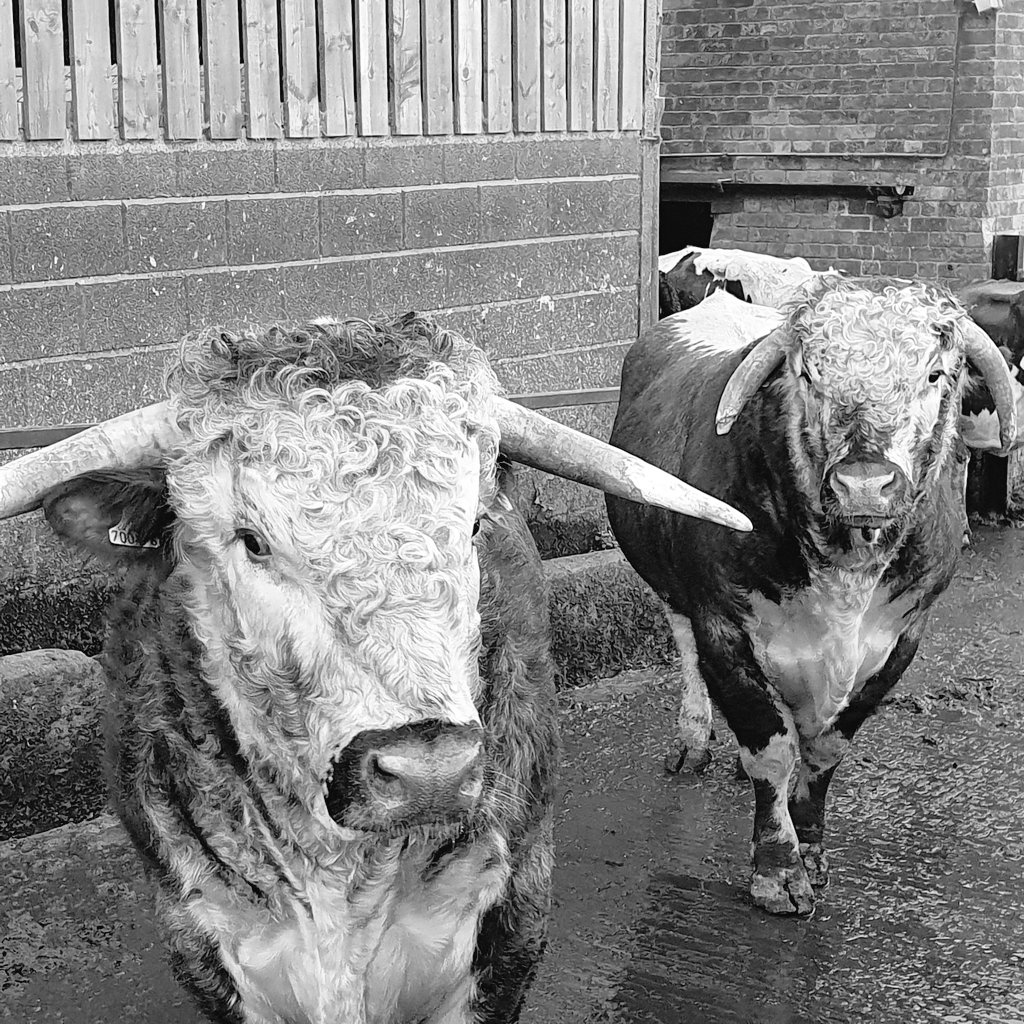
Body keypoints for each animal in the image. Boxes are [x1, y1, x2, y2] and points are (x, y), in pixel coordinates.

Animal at [0, 312, 748, 1024]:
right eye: (252, 541)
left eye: (473, 525)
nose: (429, 770)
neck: (343, 891)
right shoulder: (206, 946)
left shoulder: (510, 930)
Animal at [605, 260, 1018, 916]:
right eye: (809, 373)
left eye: (934, 373)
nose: (864, 484)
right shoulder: (723, 626)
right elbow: (770, 749)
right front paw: (778, 872)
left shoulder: (901, 641)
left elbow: (824, 752)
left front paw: (813, 851)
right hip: (672, 590)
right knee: (687, 653)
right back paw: (694, 742)